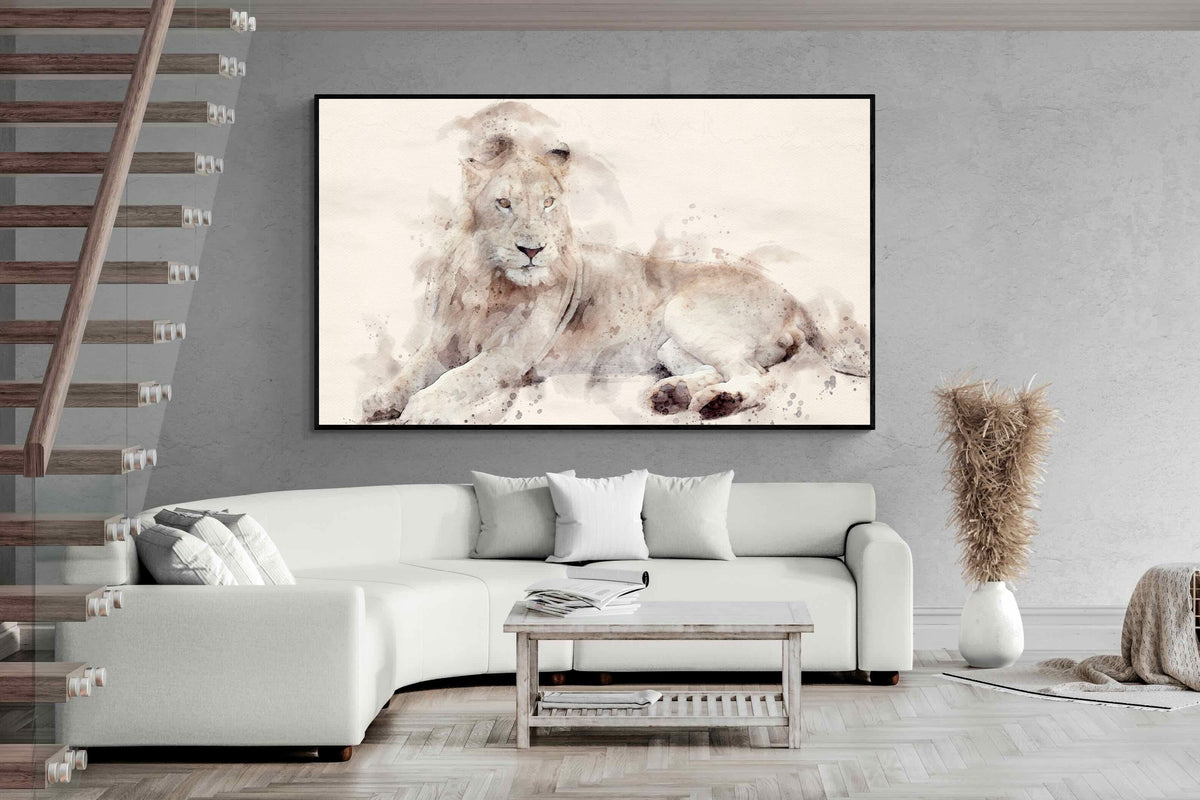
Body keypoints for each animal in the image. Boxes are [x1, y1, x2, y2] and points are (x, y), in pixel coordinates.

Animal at [362, 116, 866, 425]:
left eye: (548, 203)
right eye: (504, 203)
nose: (533, 249)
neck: (488, 283)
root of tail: (793, 298)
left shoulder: (511, 356)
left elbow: (459, 378)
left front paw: (422, 408)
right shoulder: (443, 342)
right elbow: (413, 370)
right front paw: (381, 399)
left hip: (687, 314)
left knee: (757, 377)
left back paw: (716, 405)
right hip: (672, 344)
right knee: (719, 369)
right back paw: (673, 395)